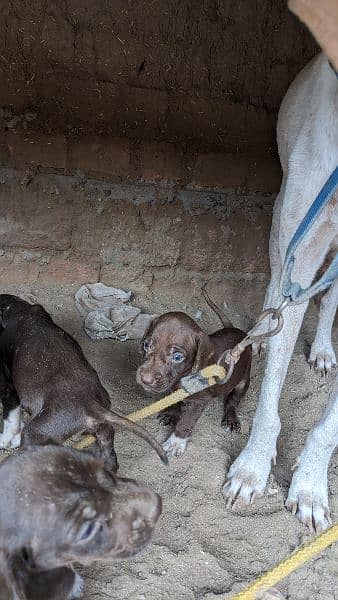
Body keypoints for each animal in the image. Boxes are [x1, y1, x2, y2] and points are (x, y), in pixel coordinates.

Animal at [0, 292, 166, 472]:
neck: (19, 310)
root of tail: (90, 403)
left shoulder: (8, 386)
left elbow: (10, 417)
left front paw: (6, 439)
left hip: (36, 433)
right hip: (103, 431)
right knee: (111, 458)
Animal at [135, 290, 251, 454]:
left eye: (177, 357)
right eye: (146, 345)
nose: (145, 379)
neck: (183, 375)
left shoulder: (200, 400)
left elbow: (187, 421)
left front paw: (176, 442)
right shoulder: (173, 387)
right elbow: (175, 399)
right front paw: (172, 414)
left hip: (243, 380)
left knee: (233, 400)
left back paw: (231, 418)